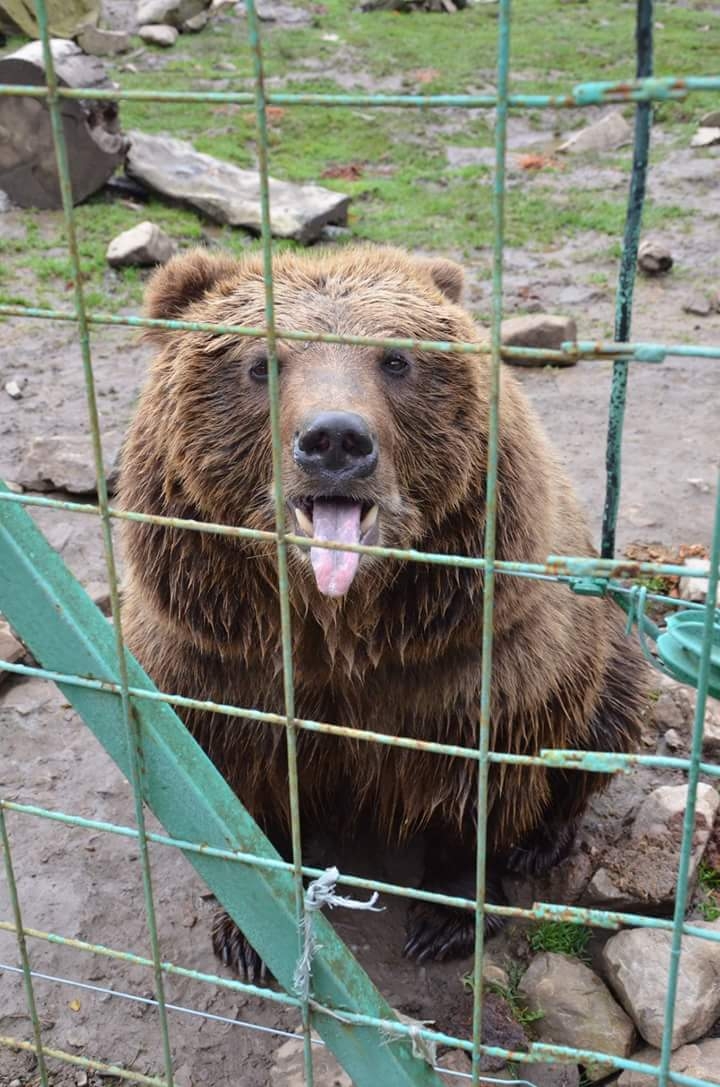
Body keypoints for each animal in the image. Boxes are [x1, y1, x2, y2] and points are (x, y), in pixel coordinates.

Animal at [118, 244, 647, 979]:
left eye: (396, 359)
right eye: (261, 362)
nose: (335, 439)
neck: (341, 626)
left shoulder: (472, 658)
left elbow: (480, 781)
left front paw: (446, 917)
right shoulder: (218, 660)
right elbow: (237, 781)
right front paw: (248, 932)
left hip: (601, 651)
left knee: (605, 721)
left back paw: (544, 838)